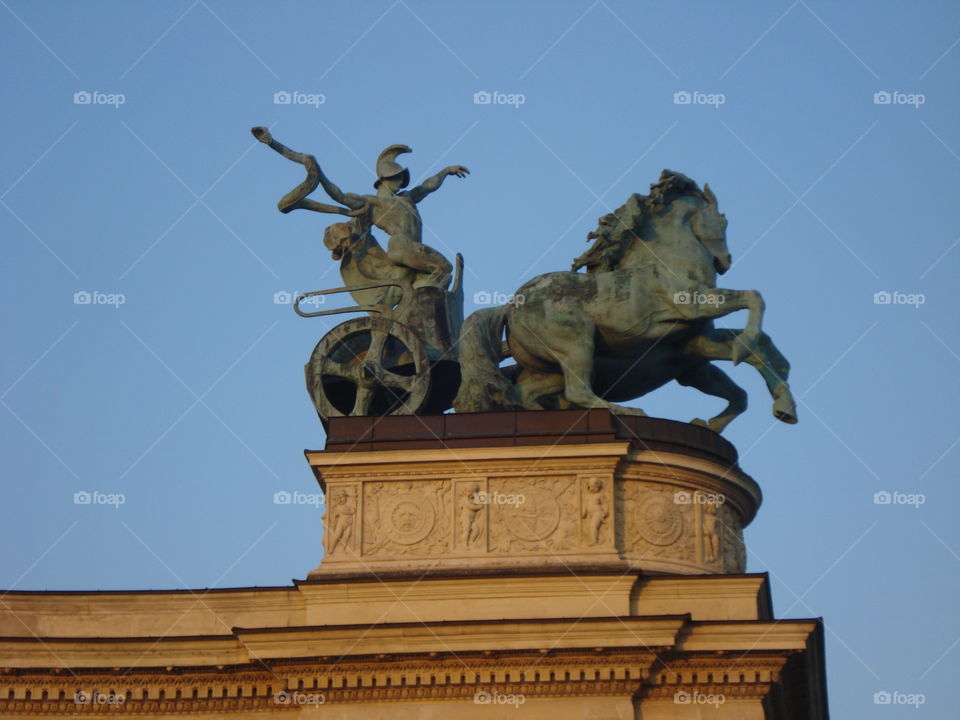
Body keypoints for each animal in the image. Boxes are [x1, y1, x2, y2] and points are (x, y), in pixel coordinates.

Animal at [454, 170, 800, 428]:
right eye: (724, 220)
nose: (725, 261)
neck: (667, 258)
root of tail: (509, 306)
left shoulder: (697, 342)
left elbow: (759, 352)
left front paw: (782, 406)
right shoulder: (694, 305)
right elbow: (754, 299)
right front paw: (747, 348)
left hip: (549, 369)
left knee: (525, 394)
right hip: (577, 344)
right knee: (577, 391)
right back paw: (622, 411)